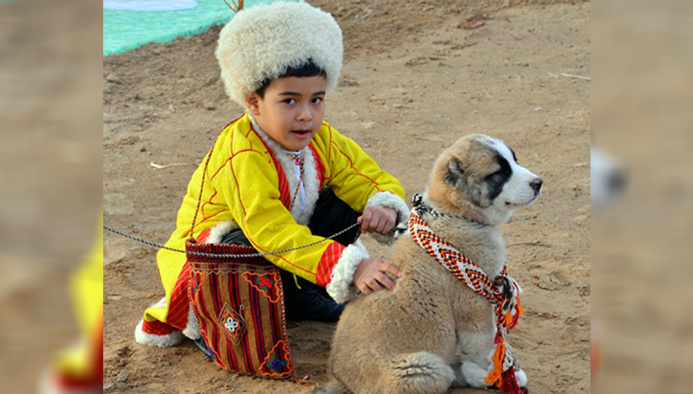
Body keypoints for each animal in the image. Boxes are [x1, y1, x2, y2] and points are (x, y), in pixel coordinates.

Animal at [312, 134, 540, 392]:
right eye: (499, 173)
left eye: (514, 160)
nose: (538, 183)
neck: (456, 214)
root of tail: (339, 380)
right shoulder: (473, 304)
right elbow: (485, 345)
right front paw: (500, 374)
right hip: (421, 368)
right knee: (446, 374)